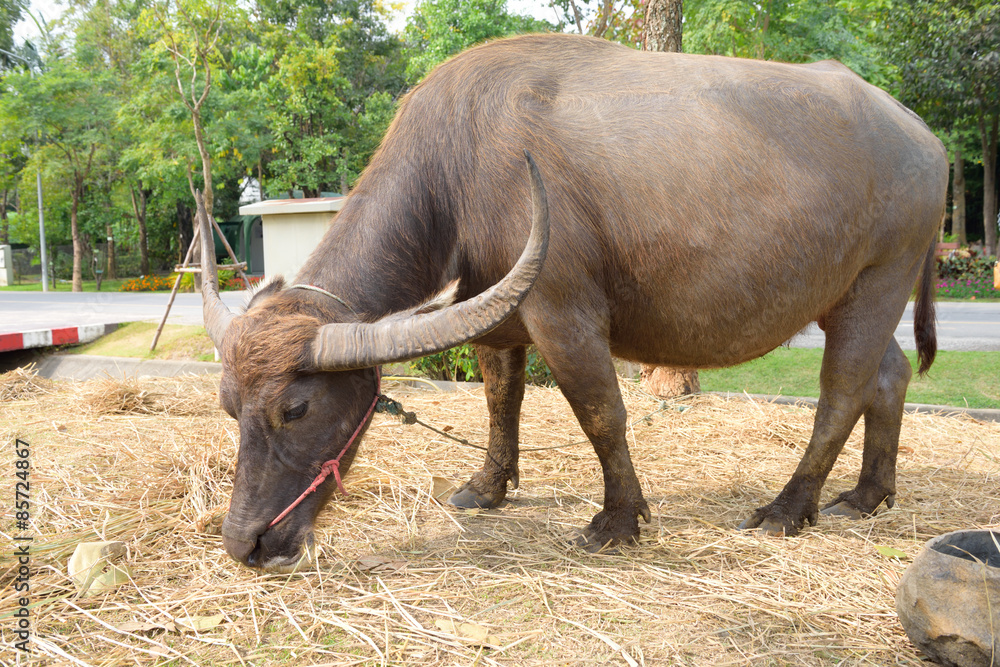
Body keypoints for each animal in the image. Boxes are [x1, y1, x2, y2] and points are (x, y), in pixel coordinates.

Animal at [200, 34, 947, 572]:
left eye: (296, 408)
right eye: (229, 407)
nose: (246, 543)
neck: (461, 166)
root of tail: (924, 137)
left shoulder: (564, 314)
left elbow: (600, 413)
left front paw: (618, 520)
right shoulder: (495, 312)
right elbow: (500, 396)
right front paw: (488, 486)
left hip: (879, 280)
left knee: (843, 390)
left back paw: (788, 508)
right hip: (848, 294)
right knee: (891, 375)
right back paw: (867, 495)